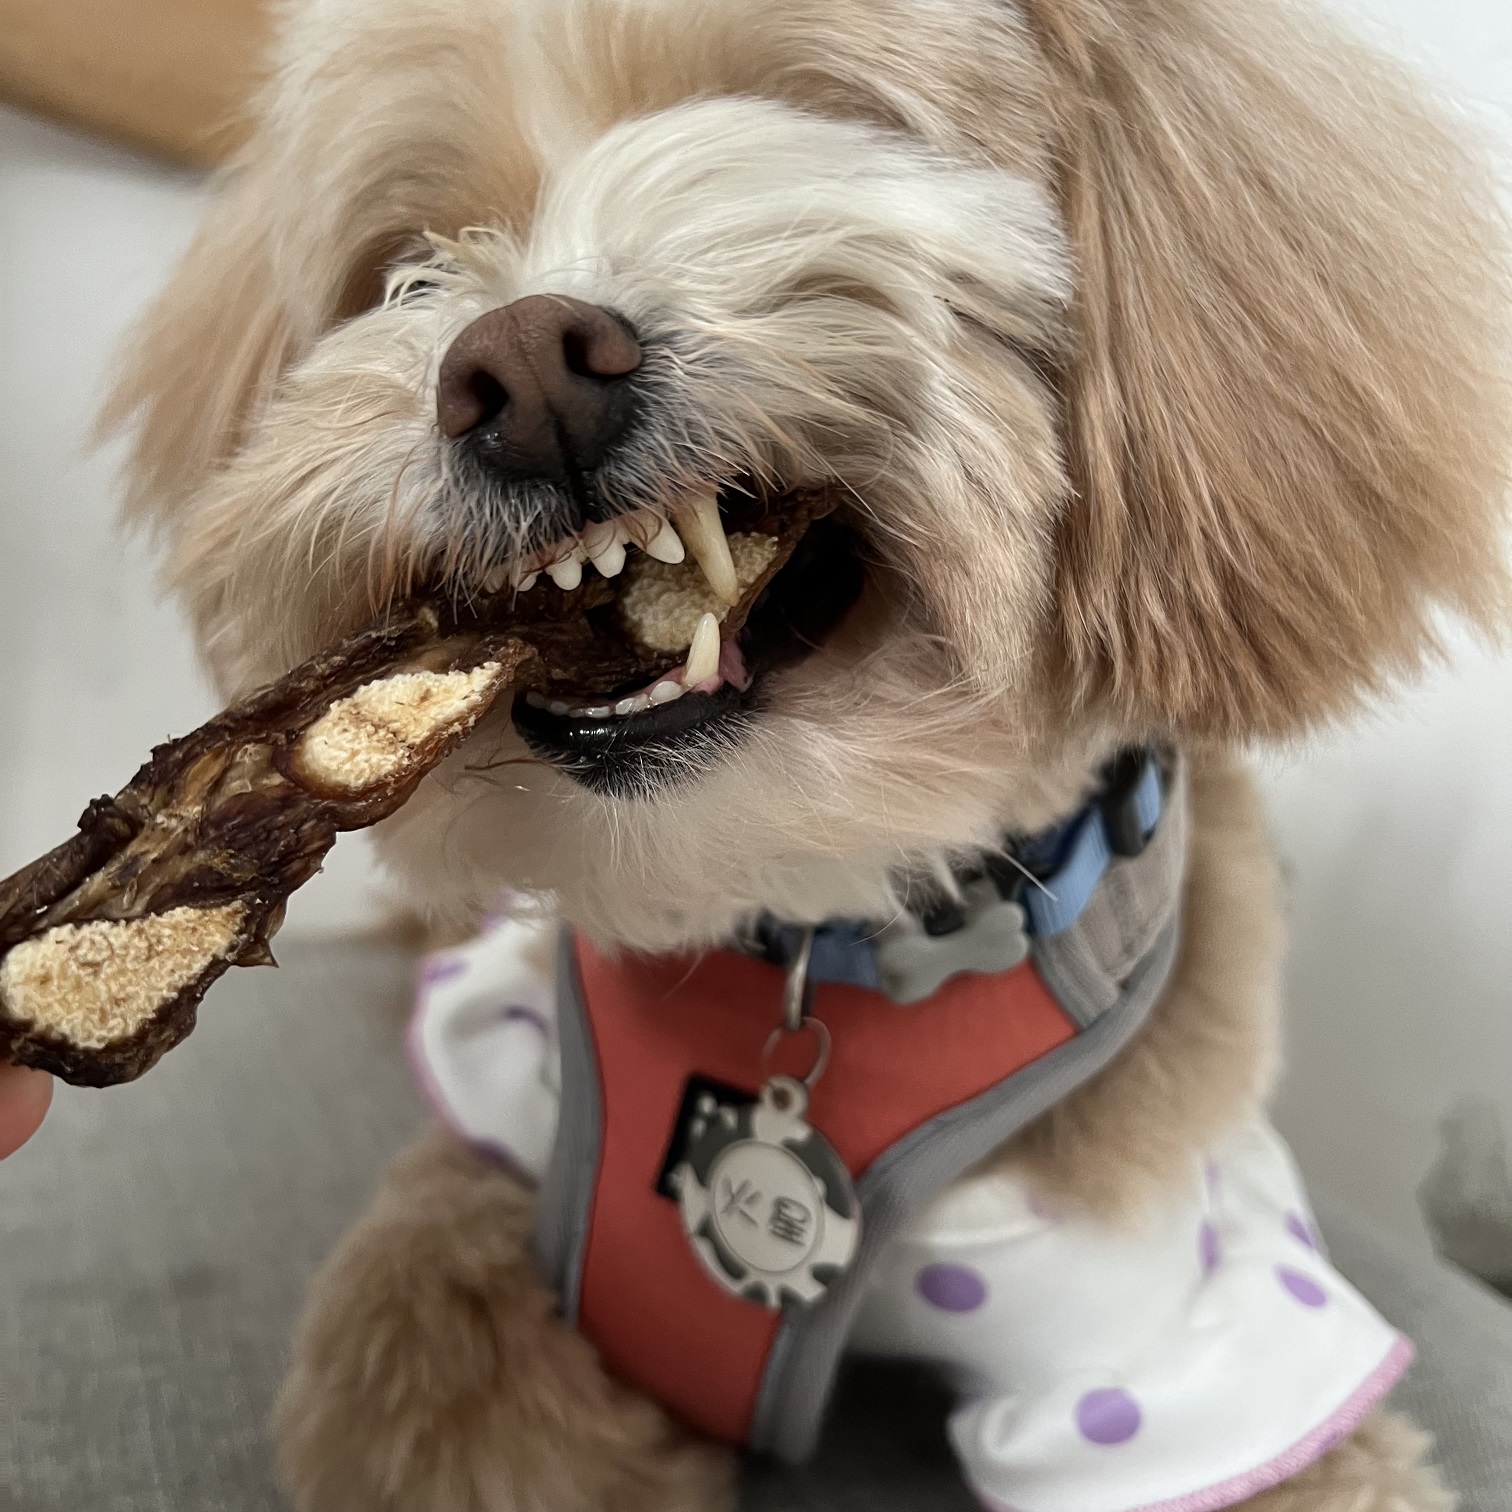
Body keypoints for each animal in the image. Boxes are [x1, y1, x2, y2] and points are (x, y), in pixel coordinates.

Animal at [100, 0, 1505, 1505]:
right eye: (408, 262)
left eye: (824, 129)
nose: (524, 364)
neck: (811, 930)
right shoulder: (497, 1167)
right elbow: (433, 1369)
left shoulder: (1184, 1336)